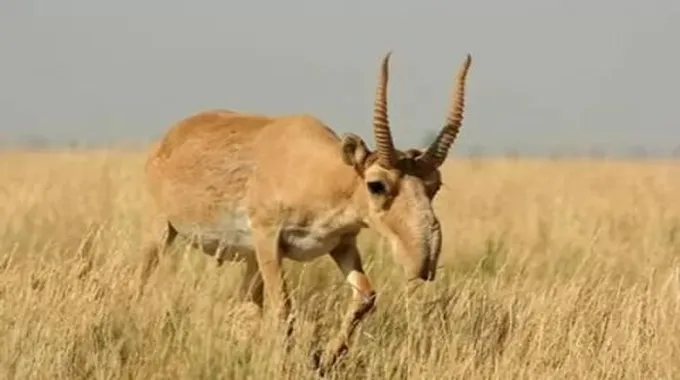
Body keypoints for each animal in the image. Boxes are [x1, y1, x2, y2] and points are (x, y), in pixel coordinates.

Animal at [140, 50, 472, 372]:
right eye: (376, 184)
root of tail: (168, 139)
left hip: (250, 260)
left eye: (435, 184)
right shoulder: (268, 240)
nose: (423, 262)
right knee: (145, 278)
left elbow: (365, 296)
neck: (319, 172)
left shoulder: (341, 244)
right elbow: (284, 307)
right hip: (162, 231)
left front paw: (326, 358)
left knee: (246, 304)